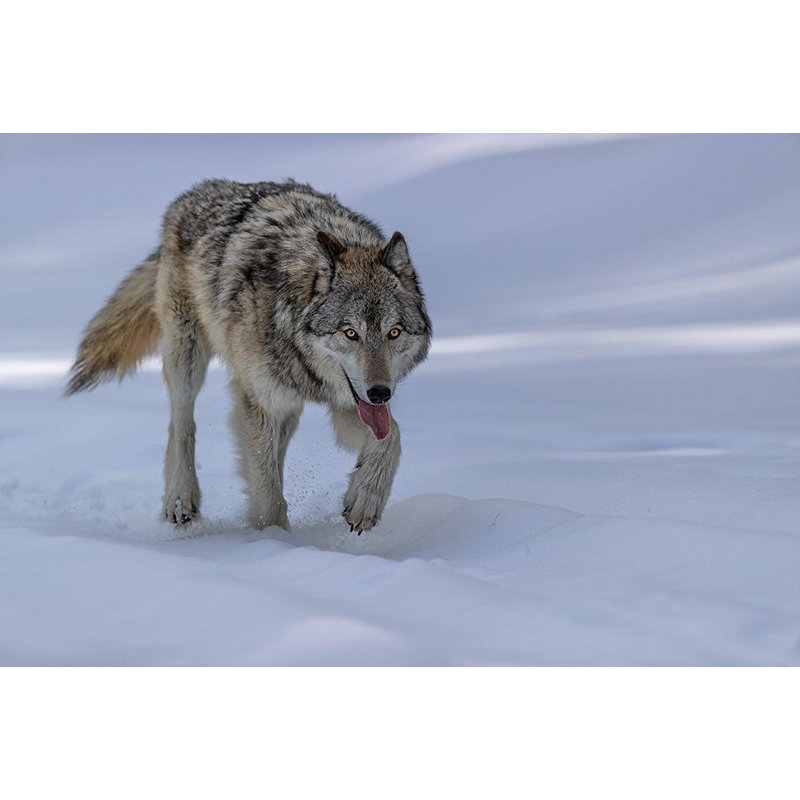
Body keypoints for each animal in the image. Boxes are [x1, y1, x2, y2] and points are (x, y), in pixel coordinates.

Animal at [66, 179, 432, 533]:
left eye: (394, 333)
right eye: (351, 333)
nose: (380, 392)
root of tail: (194, 193)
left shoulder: (343, 404)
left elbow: (391, 436)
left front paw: (364, 501)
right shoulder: (260, 402)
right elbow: (266, 491)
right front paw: (270, 540)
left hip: (288, 407)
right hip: (188, 357)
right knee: (181, 424)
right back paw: (181, 500)